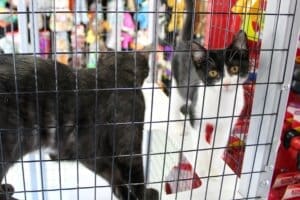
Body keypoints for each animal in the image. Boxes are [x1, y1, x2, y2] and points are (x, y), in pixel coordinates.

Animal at [170, 0, 250, 177]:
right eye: (213, 73)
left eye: (234, 69)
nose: (226, 83)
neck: (221, 101)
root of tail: (185, 43)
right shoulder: (196, 113)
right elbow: (200, 142)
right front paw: (202, 166)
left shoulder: (227, 123)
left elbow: (218, 145)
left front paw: (213, 168)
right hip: (178, 84)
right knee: (175, 103)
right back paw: (178, 126)